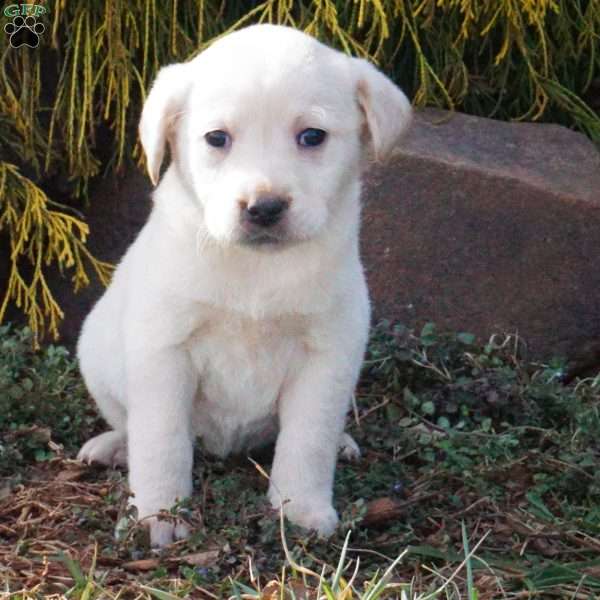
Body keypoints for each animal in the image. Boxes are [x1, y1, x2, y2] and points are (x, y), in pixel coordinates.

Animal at [77, 24, 410, 548]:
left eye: (312, 136)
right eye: (217, 138)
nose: (264, 208)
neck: (255, 270)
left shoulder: (327, 355)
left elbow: (308, 440)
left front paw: (301, 510)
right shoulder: (163, 352)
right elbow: (161, 443)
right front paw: (158, 515)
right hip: (96, 356)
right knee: (130, 426)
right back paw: (113, 447)